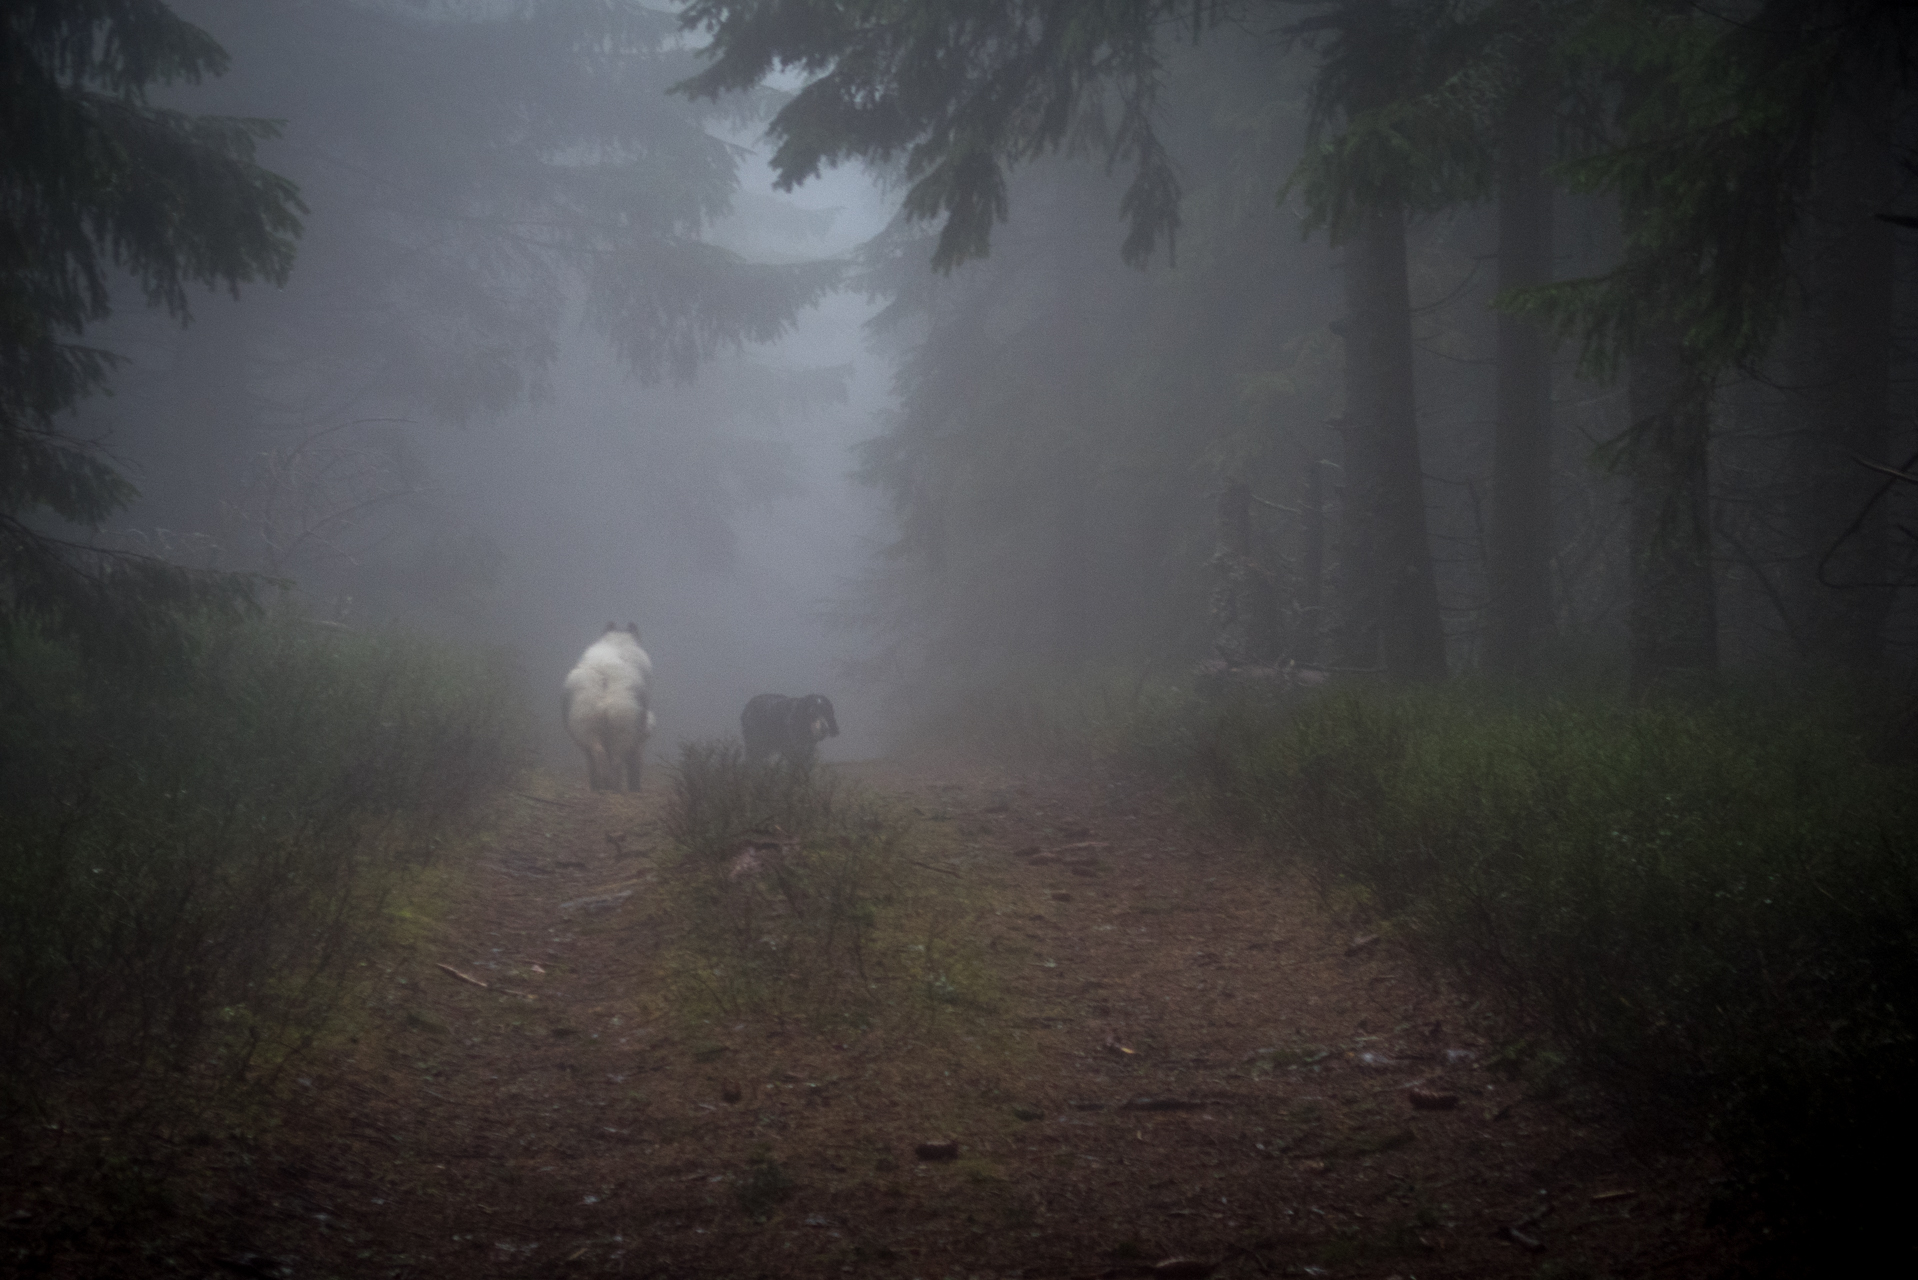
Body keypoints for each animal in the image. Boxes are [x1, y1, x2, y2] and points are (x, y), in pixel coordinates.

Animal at [560, 621, 659, 790]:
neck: (618, 642)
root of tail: (604, 676)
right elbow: (634, 763)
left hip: (586, 724)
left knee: (597, 755)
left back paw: (599, 785)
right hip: (623, 728)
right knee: (617, 759)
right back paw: (614, 786)